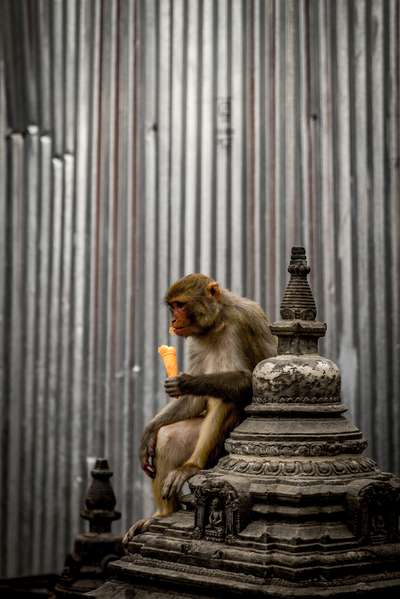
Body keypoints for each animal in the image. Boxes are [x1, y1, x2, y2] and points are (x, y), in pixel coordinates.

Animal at [123, 276, 276, 544]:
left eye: (181, 305)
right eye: (172, 307)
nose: (173, 321)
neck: (216, 322)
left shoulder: (240, 323)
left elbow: (248, 381)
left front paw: (187, 382)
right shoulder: (196, 340)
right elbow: (193, 403)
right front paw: (149, 431)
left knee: (226, 398)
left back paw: (192, 467)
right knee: (169, 435)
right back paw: (162, 515)